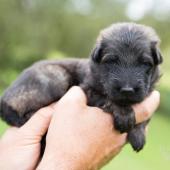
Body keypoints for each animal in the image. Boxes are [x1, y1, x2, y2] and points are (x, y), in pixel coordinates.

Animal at [0, 22, 162, 151]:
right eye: (111, 61)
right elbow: (108, 99)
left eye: (145, 63)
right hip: (56, 79)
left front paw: (138, 134)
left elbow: (146, 116)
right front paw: (124, 113)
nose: (127, 90)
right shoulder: (88, 89)